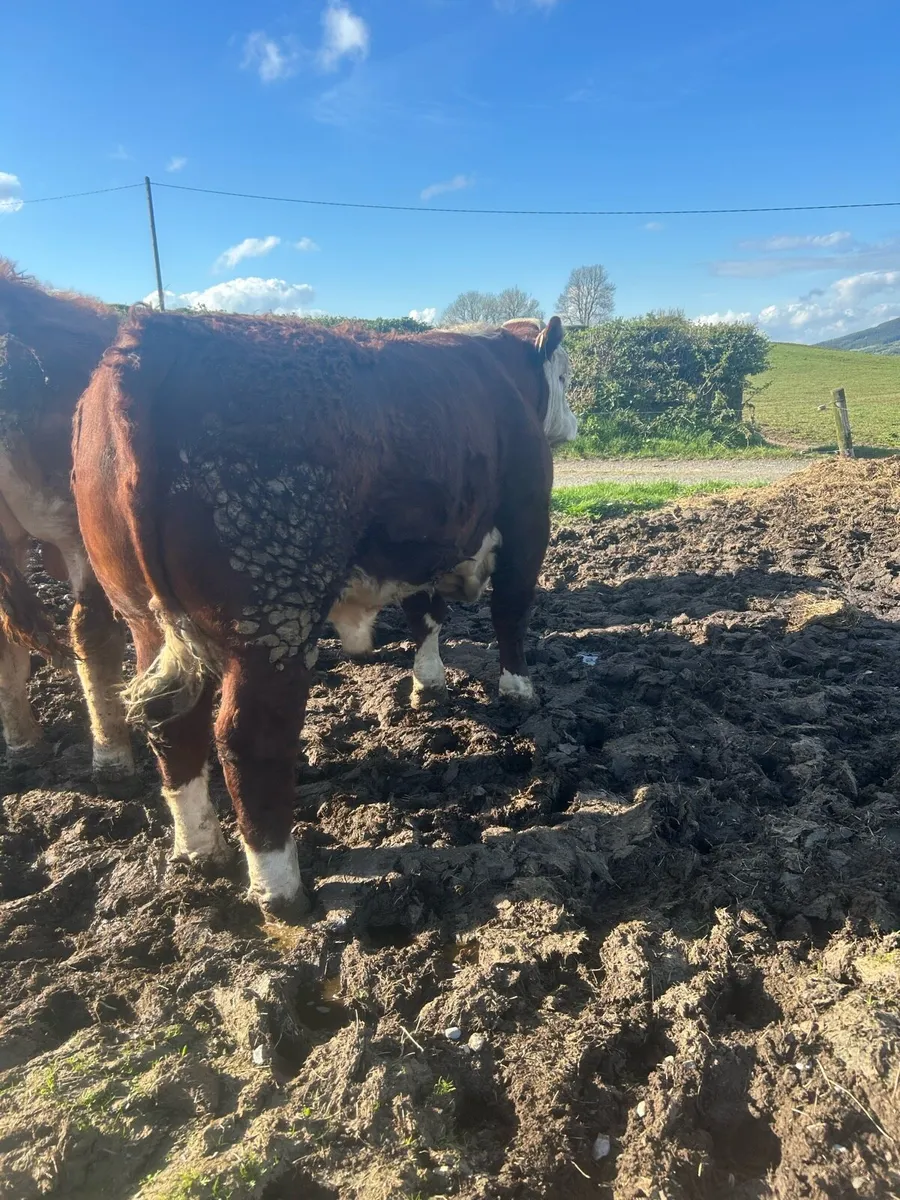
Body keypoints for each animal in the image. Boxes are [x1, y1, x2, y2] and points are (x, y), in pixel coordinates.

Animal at [72, 309, 577, 917]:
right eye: (566, 376)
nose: (574, 423)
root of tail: (149, 337)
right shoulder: (528, 522)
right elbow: (511, 613)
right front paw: (519, 691)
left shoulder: (419, 545)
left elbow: (425, 615)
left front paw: (428, 685)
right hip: (273, 620)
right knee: (249, 739)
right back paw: (281, 888)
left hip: (145, 619)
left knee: (173, 721)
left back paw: (199, 850)